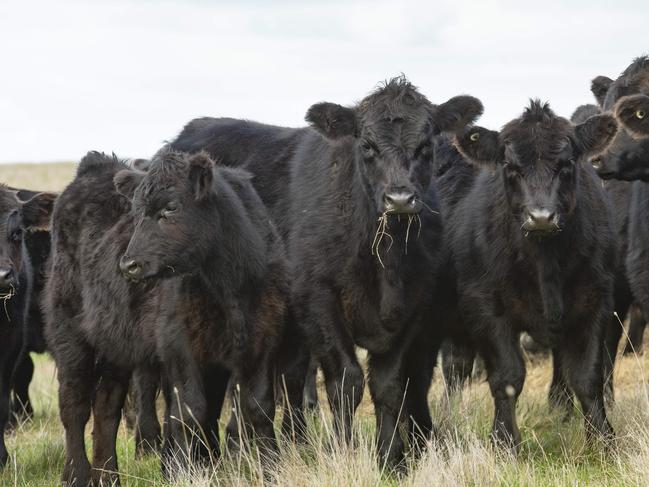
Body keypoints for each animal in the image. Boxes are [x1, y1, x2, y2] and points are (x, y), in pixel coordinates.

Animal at [45, 150, 286, 487]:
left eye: (171, 207)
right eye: (136, 213)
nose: (129, 265)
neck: (228, 284)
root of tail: (94, 166)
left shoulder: (260, 341)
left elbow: (257, 408)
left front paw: (269, 469)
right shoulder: (179, 346)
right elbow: (190, 411)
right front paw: (188, 470)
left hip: (116, 344)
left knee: (107, 407)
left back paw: (108, 476)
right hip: (68, 333)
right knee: (74, 406)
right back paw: (76, 475)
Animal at [446, 102, 616, 450]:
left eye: (566, 164)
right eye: (510, 166)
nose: (540, 217)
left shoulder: (597, 301)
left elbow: (588, 376)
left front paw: (602, 440)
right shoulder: (485, 307)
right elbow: (508, 377)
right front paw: (504, 441)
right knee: (456, 366)